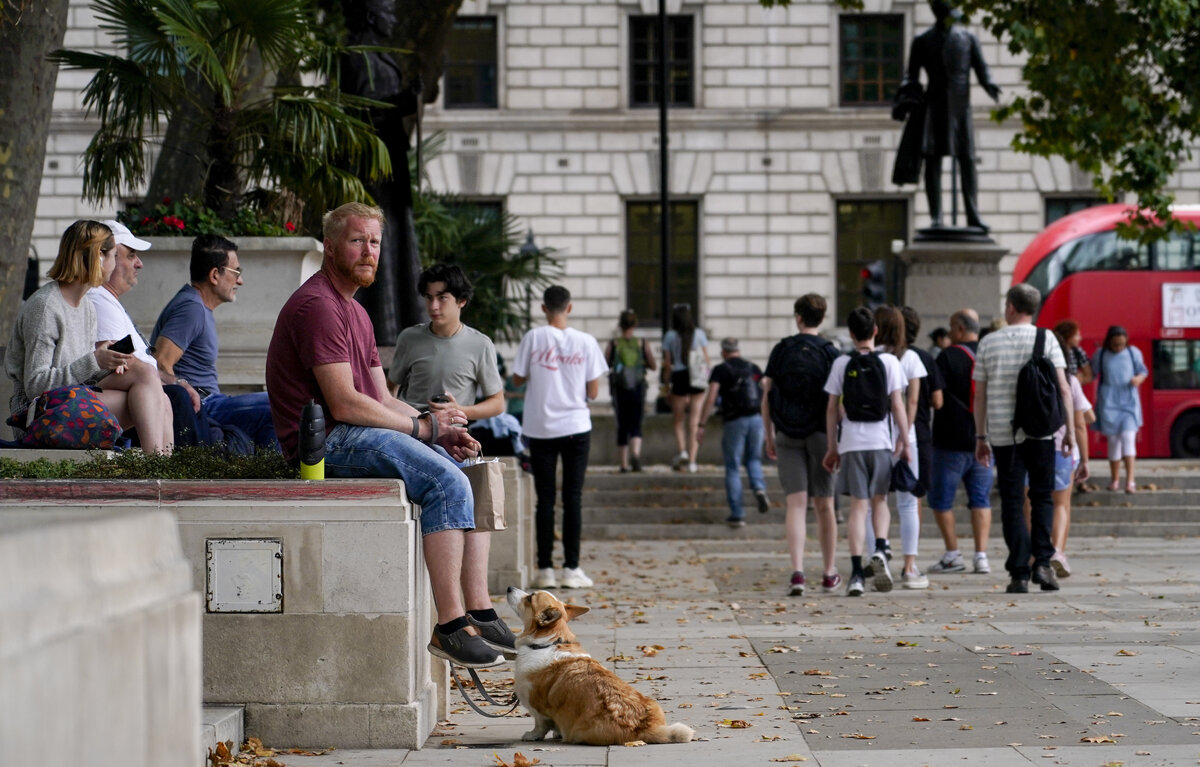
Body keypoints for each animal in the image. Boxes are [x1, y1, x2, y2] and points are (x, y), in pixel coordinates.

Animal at [504, 588, 696, 744]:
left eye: (530, 597)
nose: (509, 588)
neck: (545, 643)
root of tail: (643, 730)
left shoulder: (537, 707)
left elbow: (540, 725)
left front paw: (533, 735)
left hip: (579, 732)